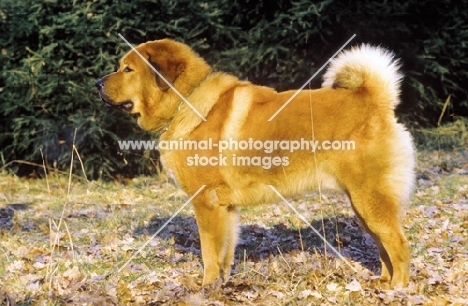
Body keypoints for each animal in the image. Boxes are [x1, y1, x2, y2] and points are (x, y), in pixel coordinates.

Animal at [95, 38, 414, 286]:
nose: (97, 83)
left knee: (399, 245)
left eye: (127, 69)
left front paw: (206, 286)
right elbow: (224, 252)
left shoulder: (206, 203)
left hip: (369, 199)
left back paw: (397, 289)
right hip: (363, 204)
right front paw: (221, 285)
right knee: (383, 247)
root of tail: (373, 99)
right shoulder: (226, 208)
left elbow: (209, 252)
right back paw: (383, 282)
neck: (186, 101)